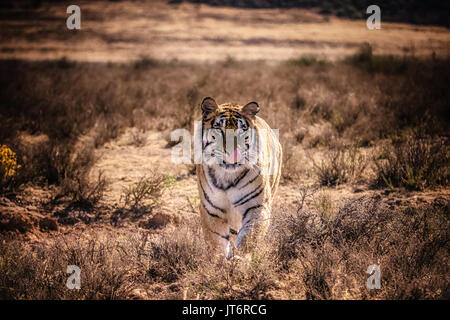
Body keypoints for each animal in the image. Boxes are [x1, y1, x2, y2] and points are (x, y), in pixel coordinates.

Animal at [196, 96, 282, 258]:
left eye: (241, 130)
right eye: (219, 129)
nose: (231, 152)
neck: (227, 176)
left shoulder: (256, 206)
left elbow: (249, 236)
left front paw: (240, 259)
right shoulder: (211, 210)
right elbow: (216, 240)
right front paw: (218, 261)